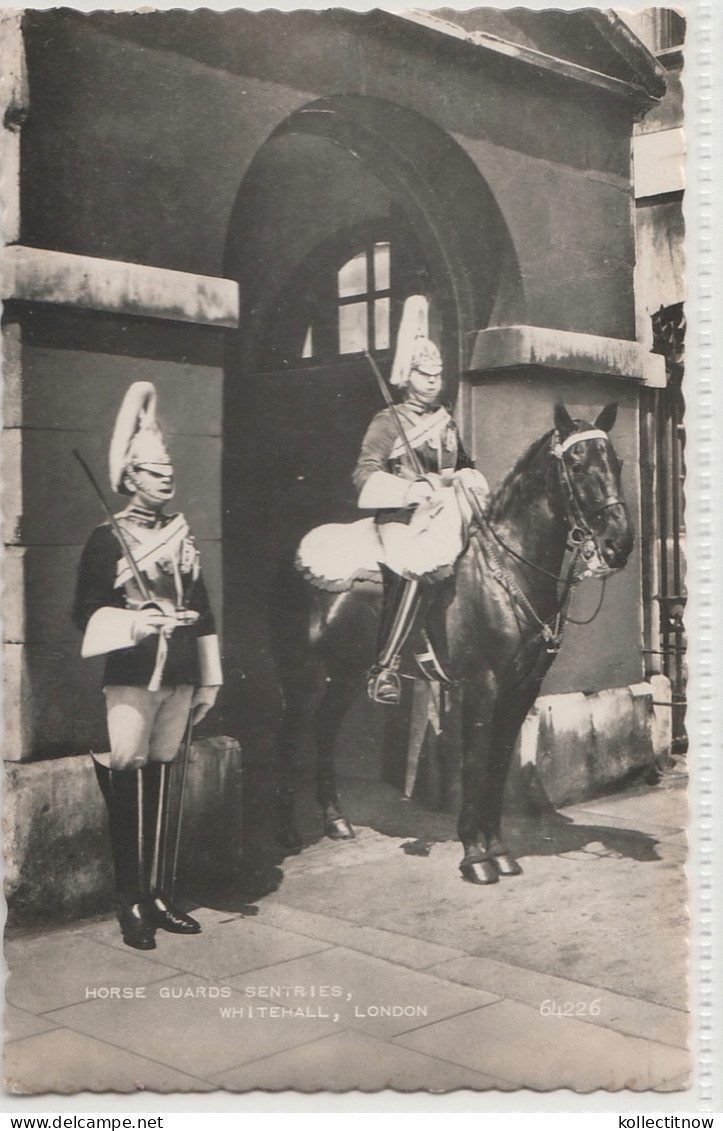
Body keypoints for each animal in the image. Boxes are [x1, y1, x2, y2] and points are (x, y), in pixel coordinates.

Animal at [271, 404, 633, 882]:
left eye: (617, 463)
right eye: (577, 465)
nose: (619, 544)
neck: (508, 570)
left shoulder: (521, 690)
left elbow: (498, 765)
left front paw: (498, 850)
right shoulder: (482, 686)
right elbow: (476, 765)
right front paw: (475, 855)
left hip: (345, 672)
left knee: (326, 727)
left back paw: (336, 820)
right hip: (301, 672)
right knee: (289, 734)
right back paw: (288, 832)